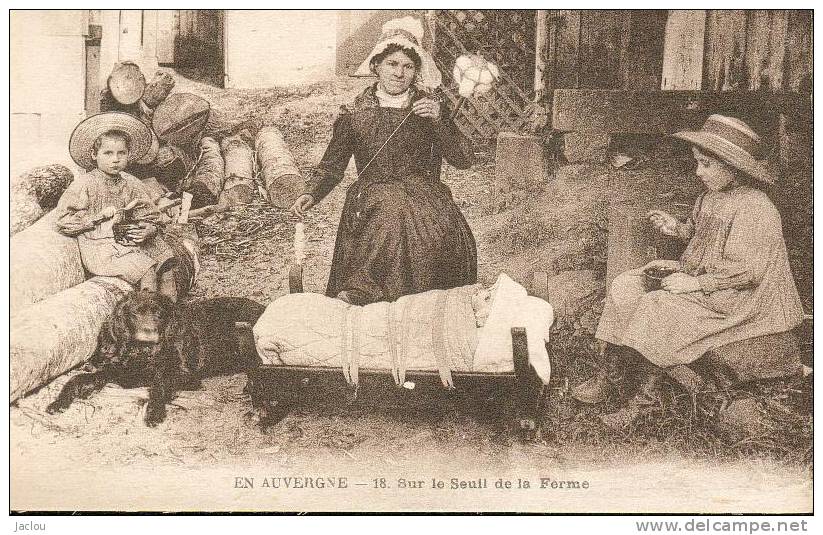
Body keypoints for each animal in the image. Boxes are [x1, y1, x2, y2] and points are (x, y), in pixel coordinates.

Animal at [45, 294, 264, 428]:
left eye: (159, 314)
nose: (148, 334)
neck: (143, 353)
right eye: (134, 313)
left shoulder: (187, 376)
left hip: (244, 333)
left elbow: (159, 384)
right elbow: (76, 379)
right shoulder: (118, 370)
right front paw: (59, 402)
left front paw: (154, 412)